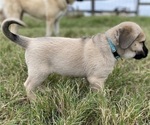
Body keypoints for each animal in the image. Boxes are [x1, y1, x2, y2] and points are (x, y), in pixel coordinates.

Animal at [1, 18, 149, 100]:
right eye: (142, 42)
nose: (147, 53)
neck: (110, 44)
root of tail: (30, 42)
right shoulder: (97, 80)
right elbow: (101, 94)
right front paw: (103, 103)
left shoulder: (91, 80)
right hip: (39, 72)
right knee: (28, 86)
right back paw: (35, 100)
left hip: (40, 74)